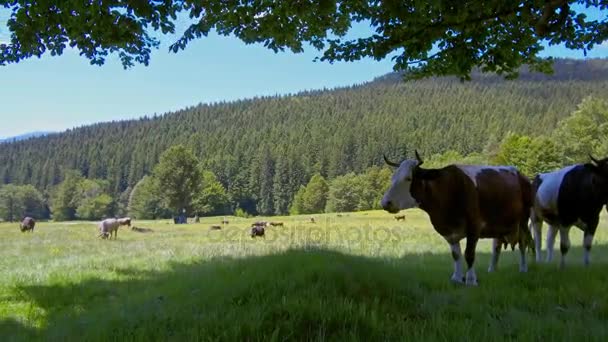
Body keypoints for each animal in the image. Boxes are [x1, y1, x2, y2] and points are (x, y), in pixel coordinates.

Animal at [382, 152, 536, 286]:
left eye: (408, 178)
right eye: (392, 178)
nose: (385, 202)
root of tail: (521, 175)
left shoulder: (474, 226)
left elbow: (469, 254)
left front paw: (471, 280)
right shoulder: (449, 232)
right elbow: (456, 254)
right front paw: (456, 278)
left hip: (523, 219)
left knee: (524, 243)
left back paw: (524, 268)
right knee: (497, 247)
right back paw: (492, 270)